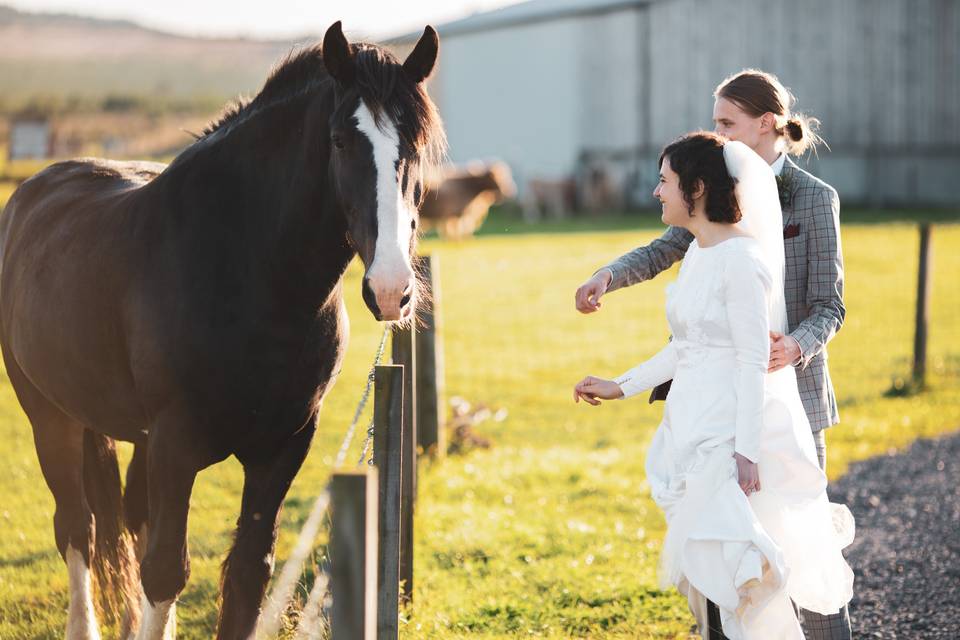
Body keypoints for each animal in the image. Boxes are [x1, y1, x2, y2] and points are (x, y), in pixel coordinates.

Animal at [0, 21, 442, 640]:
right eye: (339, 141)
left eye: (416, 146)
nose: (390, 289)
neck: (249, 273)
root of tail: (31, 192)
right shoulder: (174, 443)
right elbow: (166, 569)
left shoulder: (285, 445)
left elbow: (248, 574)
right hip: (51, 418)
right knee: (78, 528)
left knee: (130, 519)